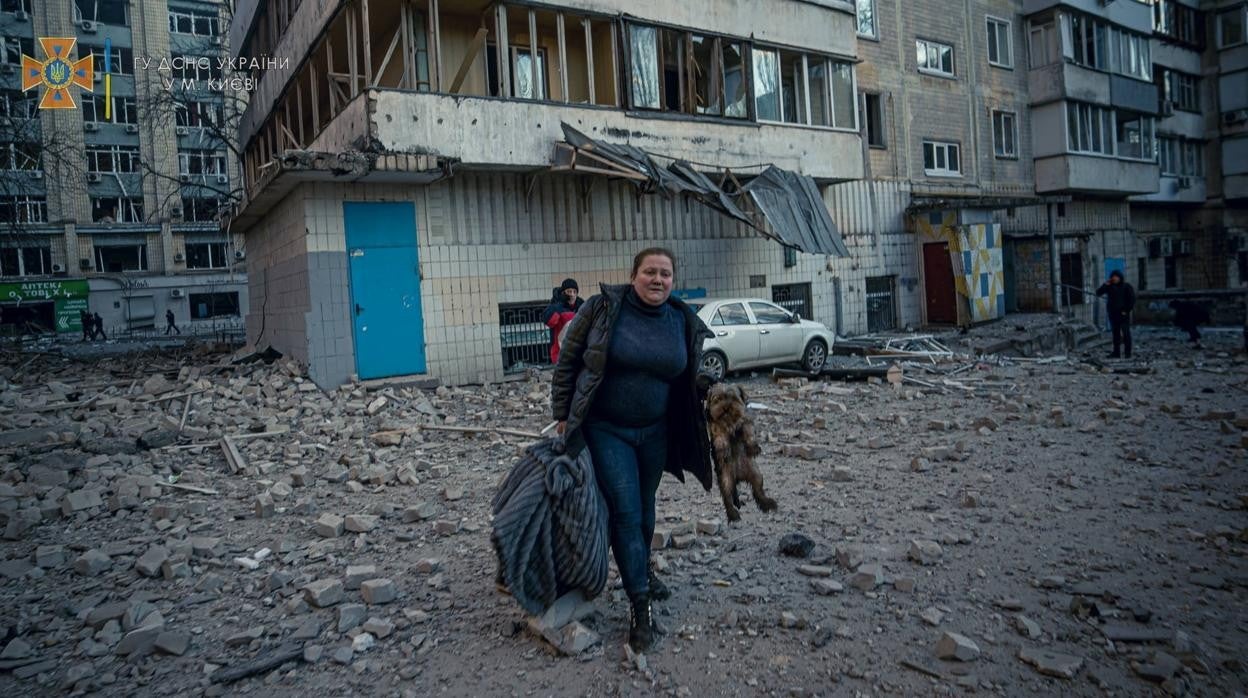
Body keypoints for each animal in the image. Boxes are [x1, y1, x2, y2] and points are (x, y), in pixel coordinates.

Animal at [708, 379, 773, 521]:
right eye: (718, 399)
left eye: (733, 398)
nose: (726, 407)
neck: (729, 422)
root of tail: (738, 476)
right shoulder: (716, 427)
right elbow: (720, 436)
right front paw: (723, 450)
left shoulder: (745, 421)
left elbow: (749, 433)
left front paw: (753, 447)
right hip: (725, 478)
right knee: (727, 497)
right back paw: (733, 514)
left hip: (755, 473)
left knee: (758, 490)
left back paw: (768, 504)